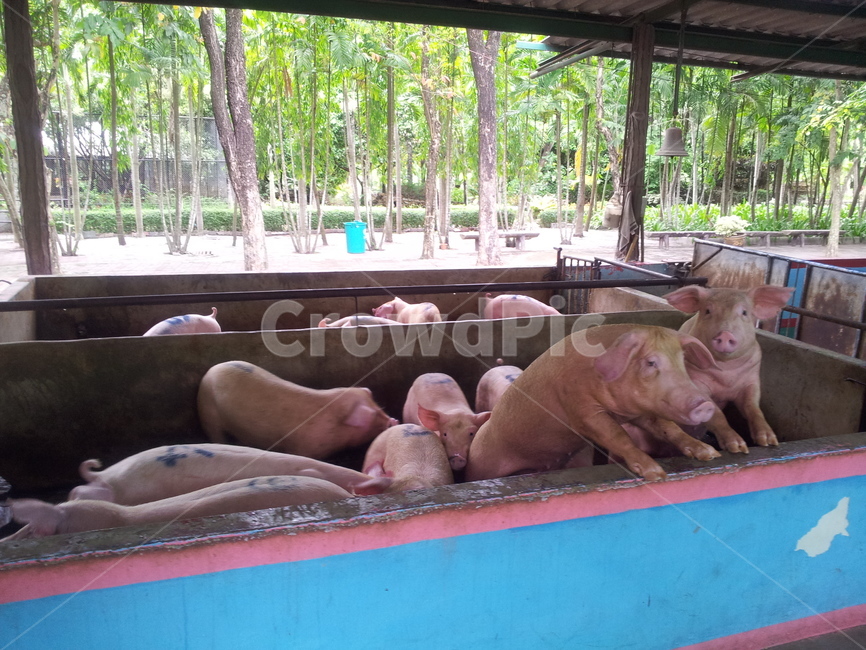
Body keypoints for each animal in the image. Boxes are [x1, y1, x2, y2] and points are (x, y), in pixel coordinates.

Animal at [197, 361, 397, 459]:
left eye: (378, 407)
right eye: (372, 416)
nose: (394, 420)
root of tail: (210, 370)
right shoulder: (304, 447)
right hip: (207, 409)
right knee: (215, 433)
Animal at [464, 324, 721, 482]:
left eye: (682, 361)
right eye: (650, 362)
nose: (705, 405)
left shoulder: (642, 412)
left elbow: (669, 428)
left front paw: (710, 454)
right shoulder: (581, 409)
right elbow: (615, 435)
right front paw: (656, 474)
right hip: (482, 464)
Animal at [663, 284, 795, 452]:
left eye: (744, 312)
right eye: (708, 311)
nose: (725, 334)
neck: (726, 373)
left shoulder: (751, 381)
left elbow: (752, 407)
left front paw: (769, 441)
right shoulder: (697, 381)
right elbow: (717, 414)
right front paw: (737, 448)